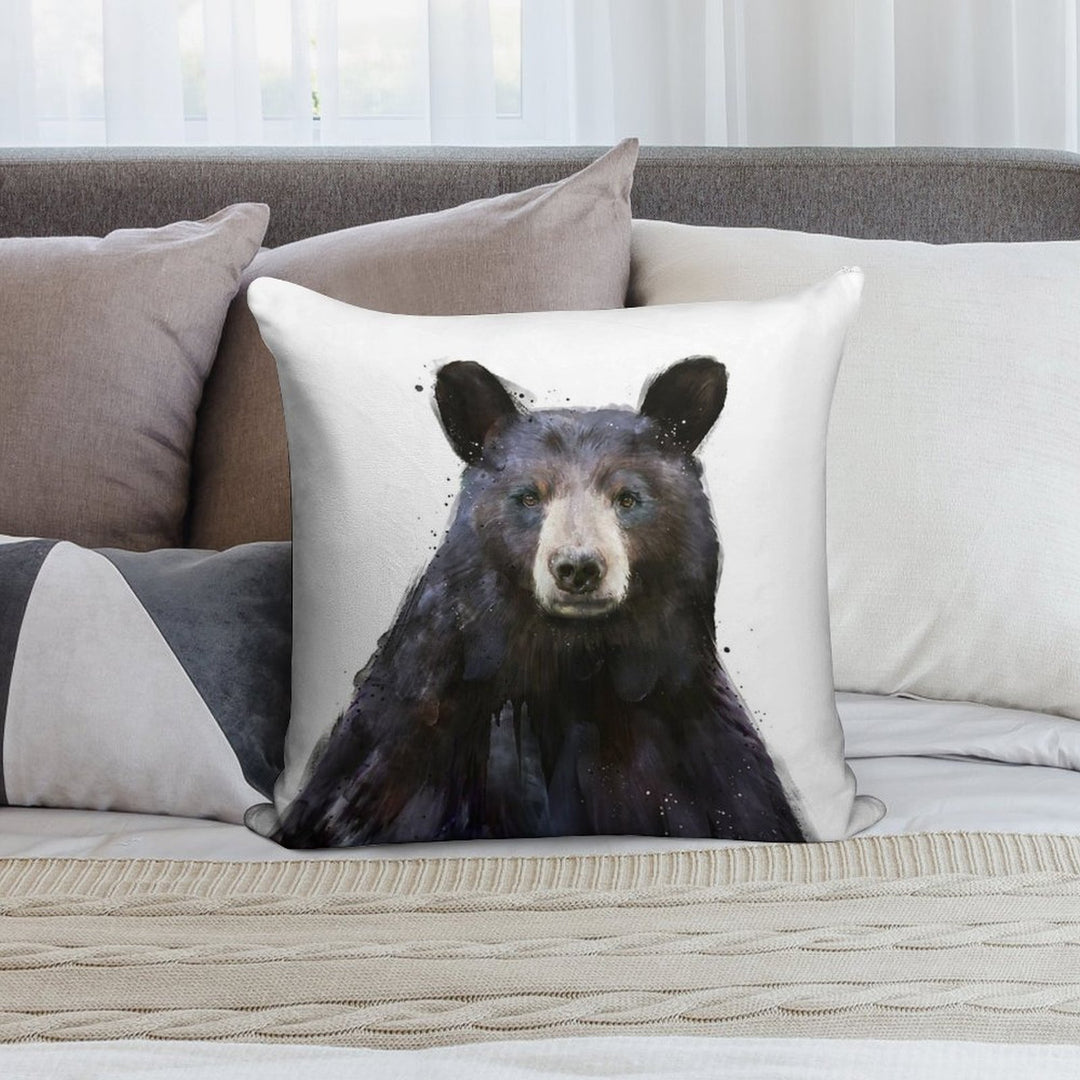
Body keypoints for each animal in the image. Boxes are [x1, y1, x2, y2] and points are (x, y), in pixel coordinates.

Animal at [273, 356, 805, 848]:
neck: (572, 664)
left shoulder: (696, 746)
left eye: (628, 498)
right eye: (528, 497)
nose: (578, 567)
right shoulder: (412, 741)